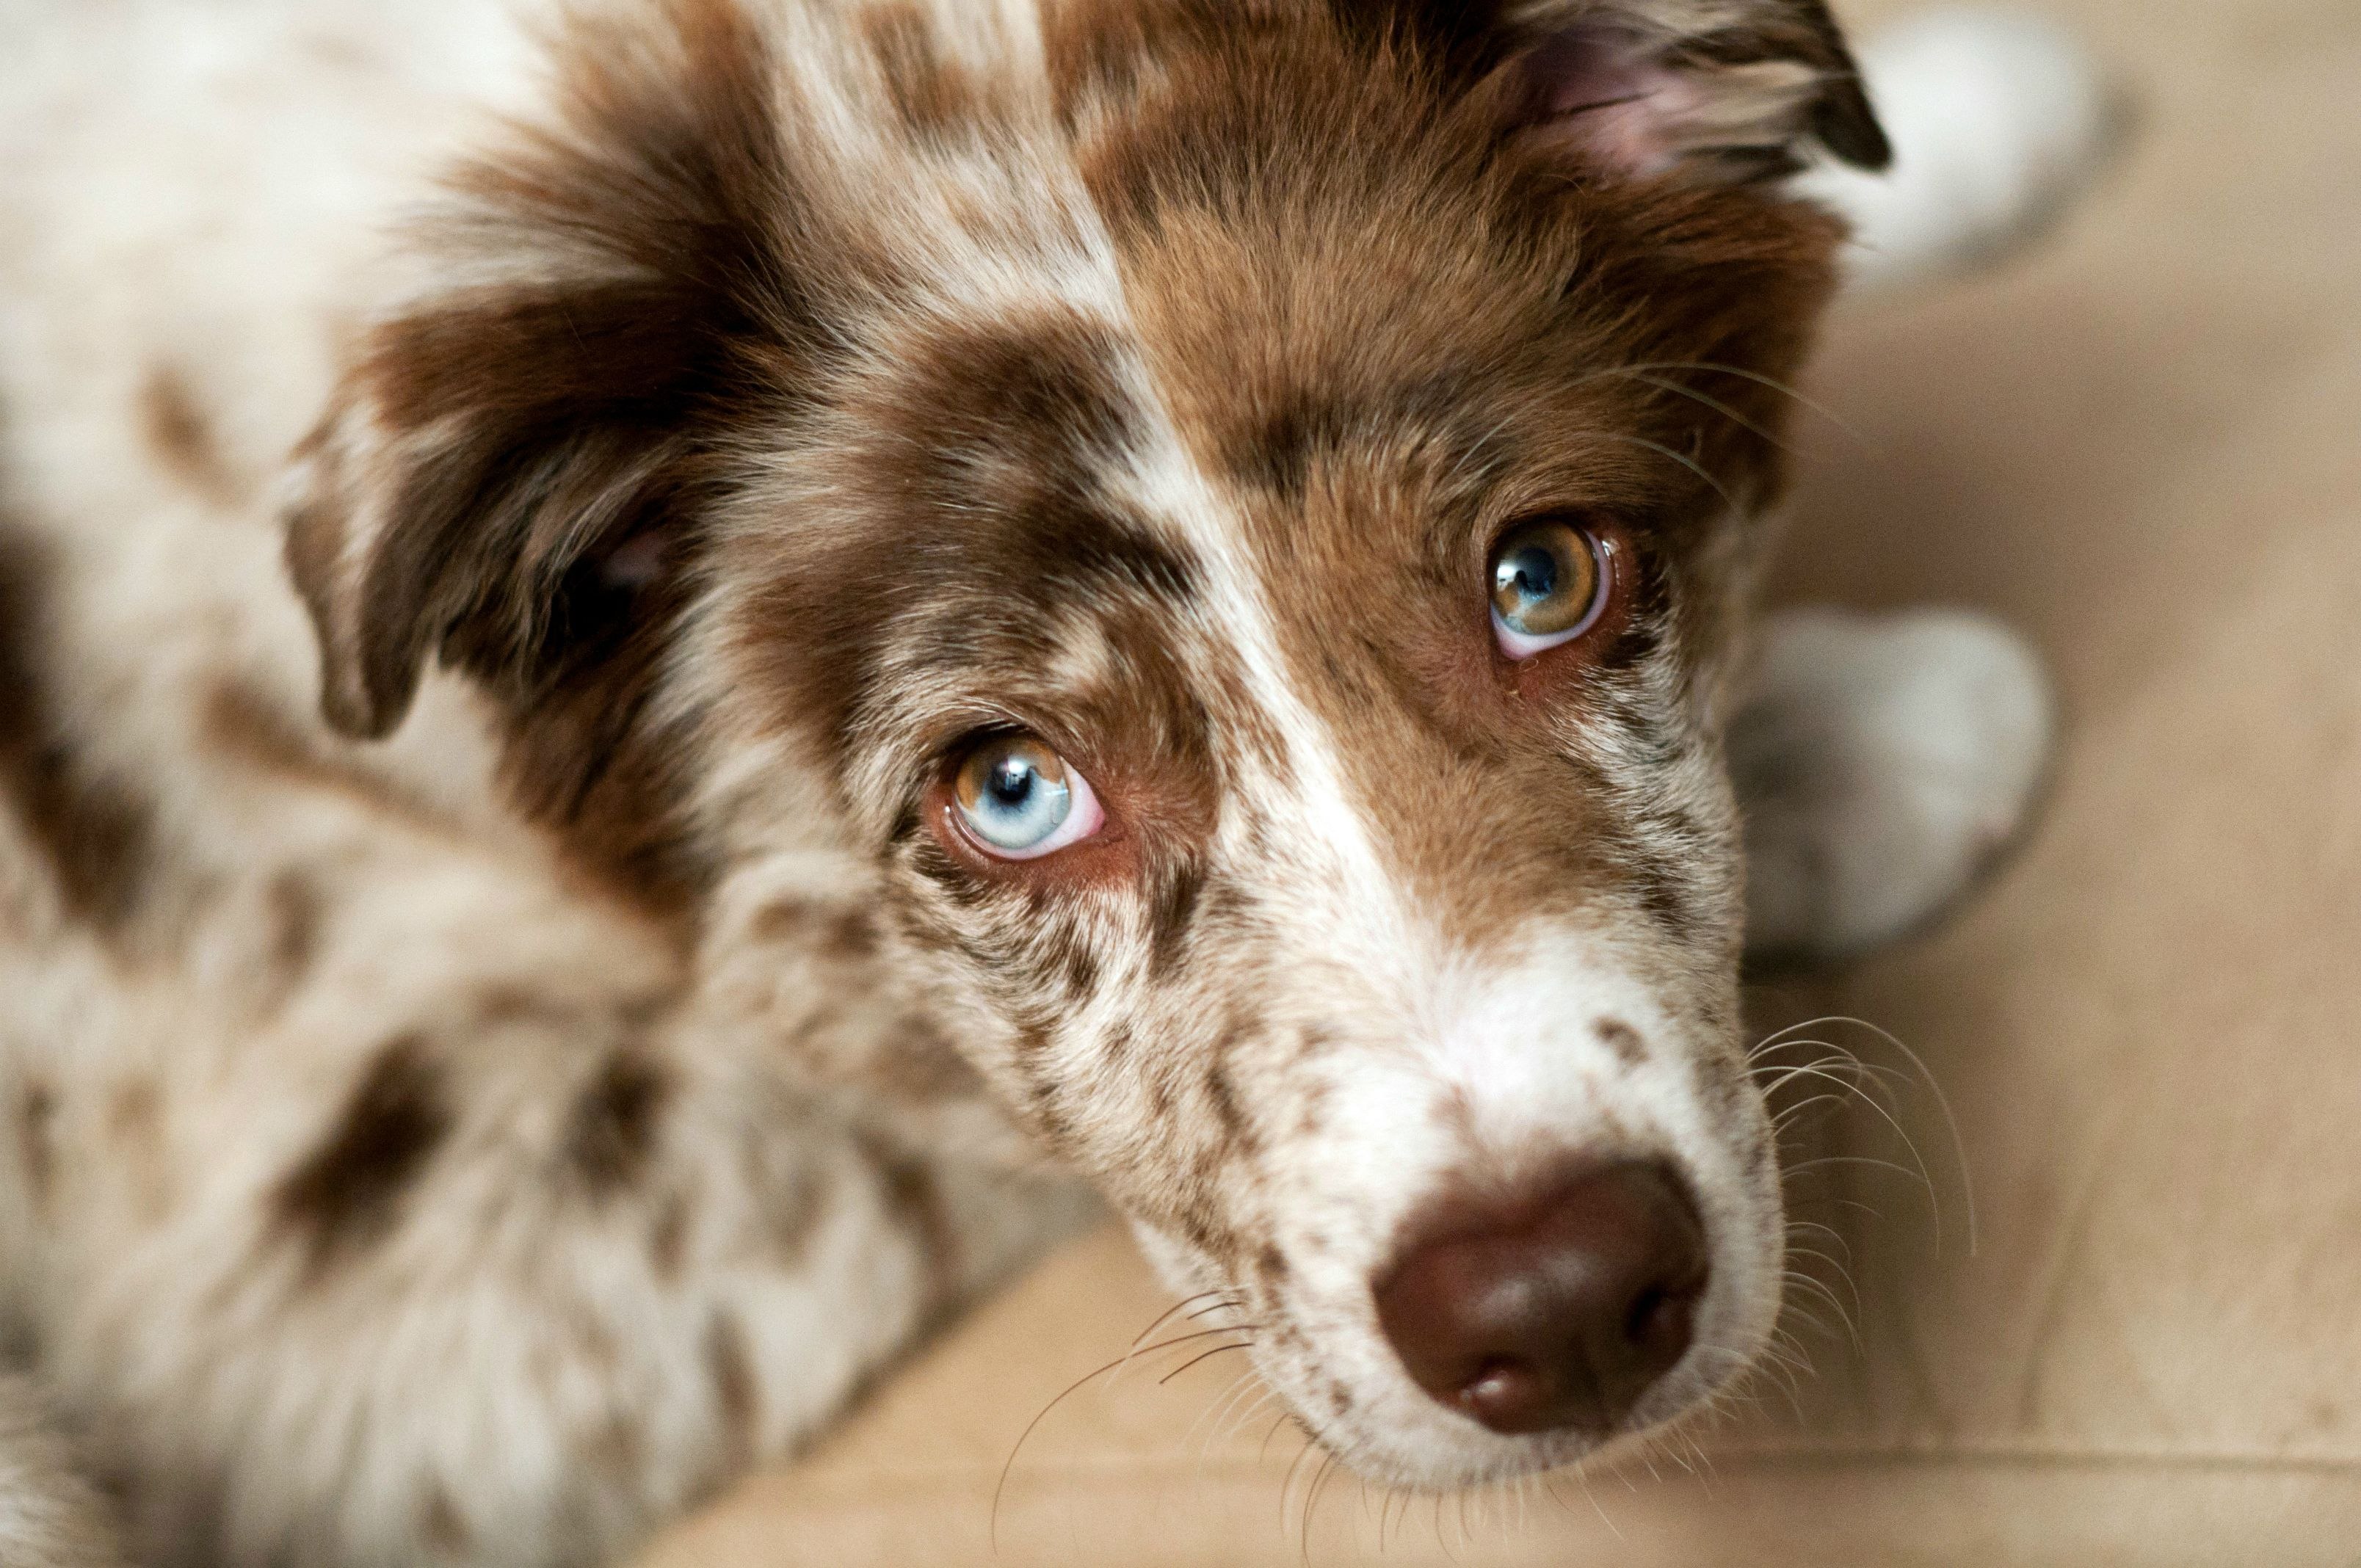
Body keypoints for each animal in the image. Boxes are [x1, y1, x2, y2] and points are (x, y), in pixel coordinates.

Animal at [0, 6, 2106, 1558]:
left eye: (1546, 579)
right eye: (1011, 793)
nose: (1566, 1307)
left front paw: (1979, 105)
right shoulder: (367, 1287)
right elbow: (901, 1108)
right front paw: (1883, 728)